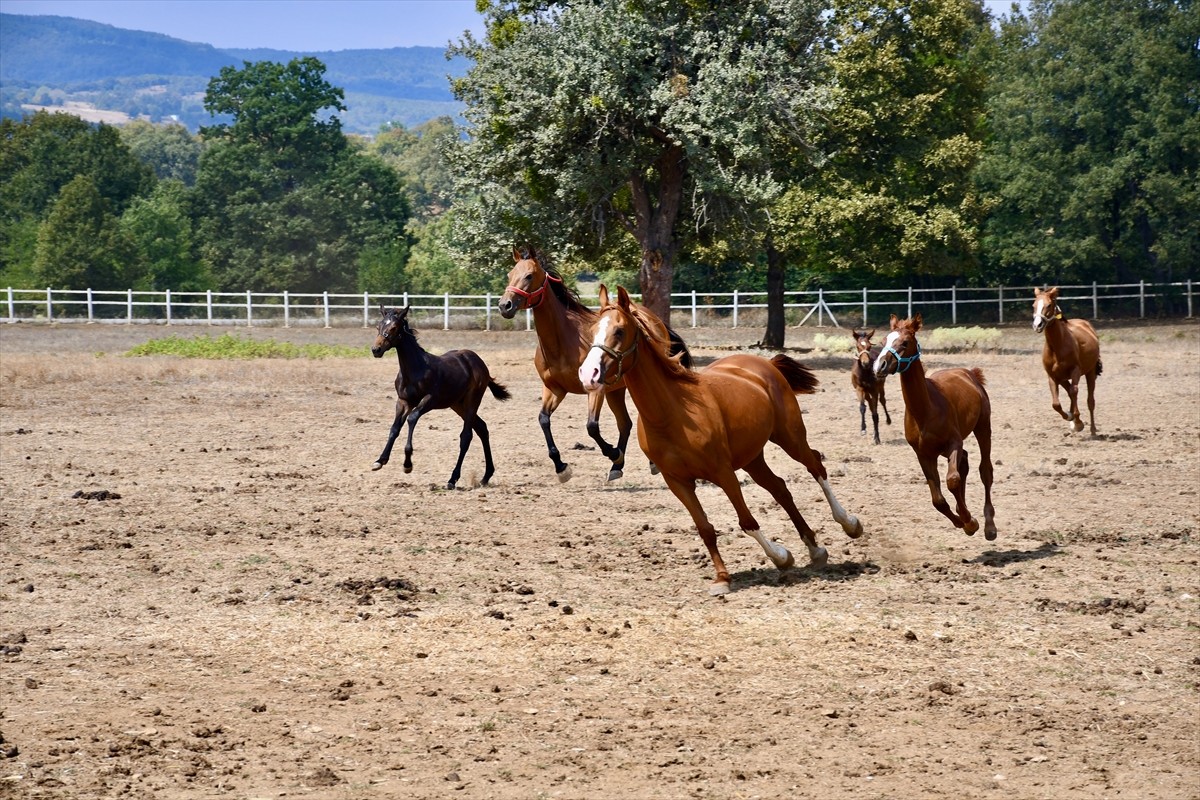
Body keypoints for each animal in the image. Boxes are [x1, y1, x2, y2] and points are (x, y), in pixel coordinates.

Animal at [369, 304, 511, 489]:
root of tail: (478, 361)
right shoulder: (403, 401)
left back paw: (452, 479)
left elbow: (412, 418)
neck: (415, 369)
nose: (376, 350)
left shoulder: (430, 400)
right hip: (457, 404)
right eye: (378, 326)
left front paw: (407, 464)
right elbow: (394, 428)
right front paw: (380, 460)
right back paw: (486, 476)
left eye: (393, 328)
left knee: (466, 436)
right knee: (481, 428)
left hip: (472, 401)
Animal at [496, 245, 691, 482]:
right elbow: (543, 419)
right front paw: (561, 467)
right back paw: (617, 468)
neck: (562, 342)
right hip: (616, 390)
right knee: (625, 423)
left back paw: (645, 462)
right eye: (509, 274)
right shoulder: (554, 389)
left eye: (529, 275)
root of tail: (654, 319)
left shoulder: (595, 389)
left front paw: (613, 453)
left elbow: (592, 427)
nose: (505, 305)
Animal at [580, 286, 864, 594]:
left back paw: (849, 524)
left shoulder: (723, 472)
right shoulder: (677, 481)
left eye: (619, 331)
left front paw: (779, 556)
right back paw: (815, 550)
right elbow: (705, 528)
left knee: (816, 466)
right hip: (752, 457)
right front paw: (723, 578)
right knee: (780, 489)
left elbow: (747, 521)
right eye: (592, 329)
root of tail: (764, 363)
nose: (588, 373)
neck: (673, 413)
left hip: (790, 437)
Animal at [873, 311, 993, 537]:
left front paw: (970, 521)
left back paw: (989, 525)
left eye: (905, 342)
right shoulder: (923, 454)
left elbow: (952, 480)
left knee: (985, 471)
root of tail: (969, 373)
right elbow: (938, 499)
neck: (926, 411)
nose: (879, 366)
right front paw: (962, 521)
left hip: (983, 428)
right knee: (965, 462)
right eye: (883, 341)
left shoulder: (954, 443)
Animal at [1032, 287, 1104, 434]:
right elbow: (1056, 404)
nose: (1037, 325)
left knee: (1090, 400)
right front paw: (1071, 417)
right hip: (1063, 378)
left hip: (1090, 372)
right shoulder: (1053, 377)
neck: (1057, 346)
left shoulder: (1075, 371)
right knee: (1071, 392)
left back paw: (1093, 430)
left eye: (1049, 305)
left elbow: (1074, 392)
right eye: (1033, 305)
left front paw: (1078, 422)